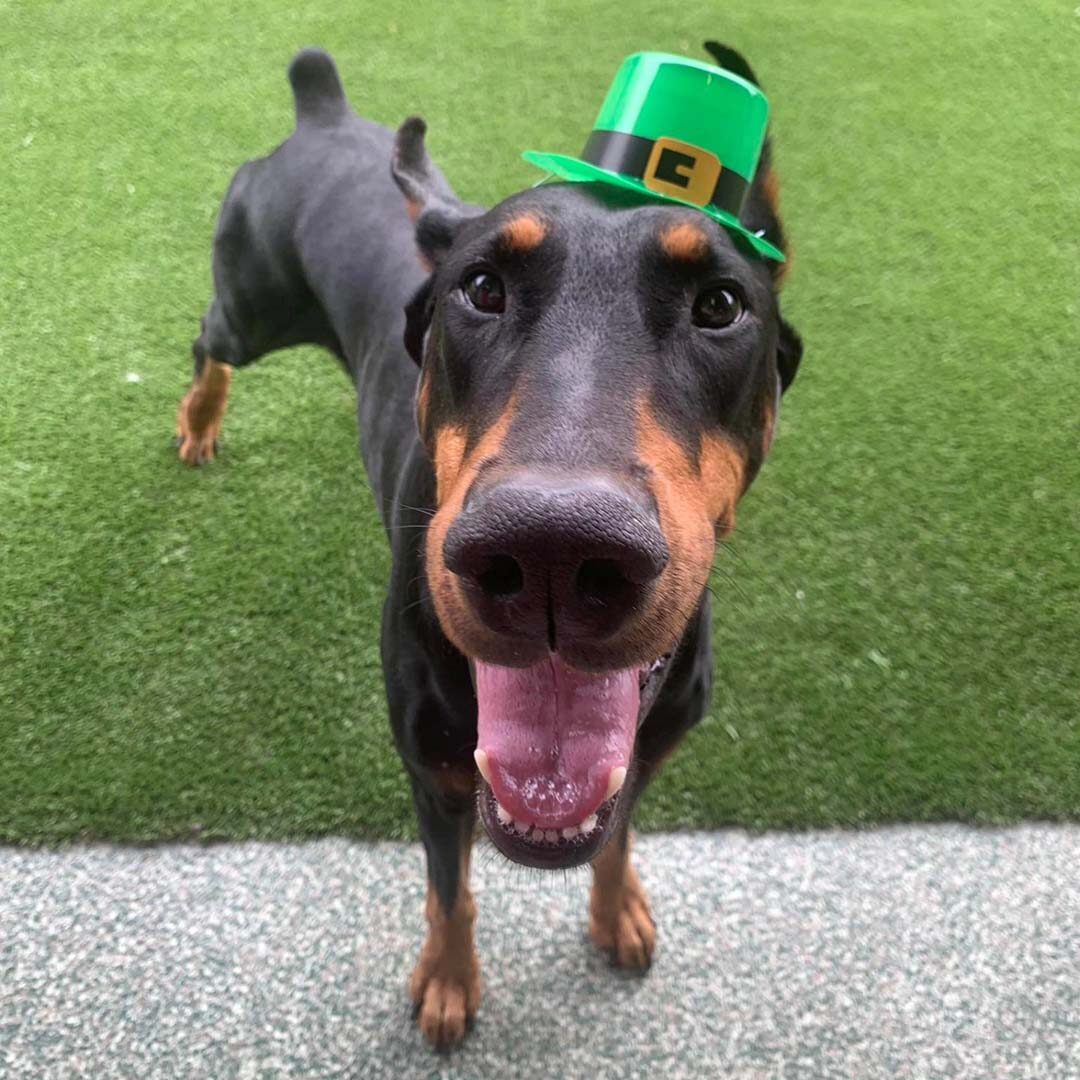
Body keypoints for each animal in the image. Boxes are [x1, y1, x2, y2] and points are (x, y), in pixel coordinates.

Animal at [177, 44, 803, 1045]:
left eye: (720, 304)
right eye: (481, 288)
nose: (555, 554)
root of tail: (321, 109)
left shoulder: (651, 752)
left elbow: (615, 835)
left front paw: (616, 909)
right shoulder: (432, 774)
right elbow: (450, 891)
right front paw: (447, 981)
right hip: (252, 302)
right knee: (209, 340)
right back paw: (198, 420)